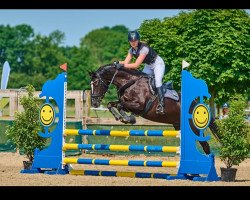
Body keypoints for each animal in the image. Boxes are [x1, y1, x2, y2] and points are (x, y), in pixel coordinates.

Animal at [89, 63, 220, 154]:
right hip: (179, 126)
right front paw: (120, 117)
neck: (130, 82)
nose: (94, 103)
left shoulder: (139, 106)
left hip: (193, 128)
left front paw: (128, 118)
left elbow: (121, 104)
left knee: (205, 145)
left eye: (96, 83)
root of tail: (197, 104)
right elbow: (111, 104)